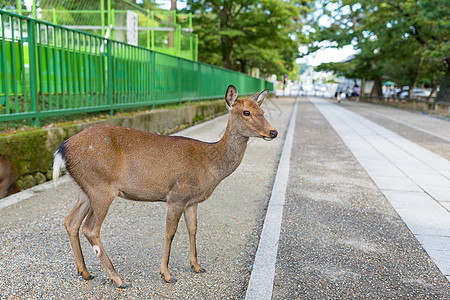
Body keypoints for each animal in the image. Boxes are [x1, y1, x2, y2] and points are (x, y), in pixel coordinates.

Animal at [52, 84, 278, 288]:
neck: (210, 165)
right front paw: (166, 274)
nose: (273, 132)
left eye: (262, 111)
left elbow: (193, 229)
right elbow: (170, 233)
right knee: (90, 228)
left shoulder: (192, 201)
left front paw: (196, 266)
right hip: (101, 188)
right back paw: (118, 279)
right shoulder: (177, 196)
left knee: (70, 221)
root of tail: (61, 149)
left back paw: (85, 272)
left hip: (85, 189)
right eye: (246, 112)